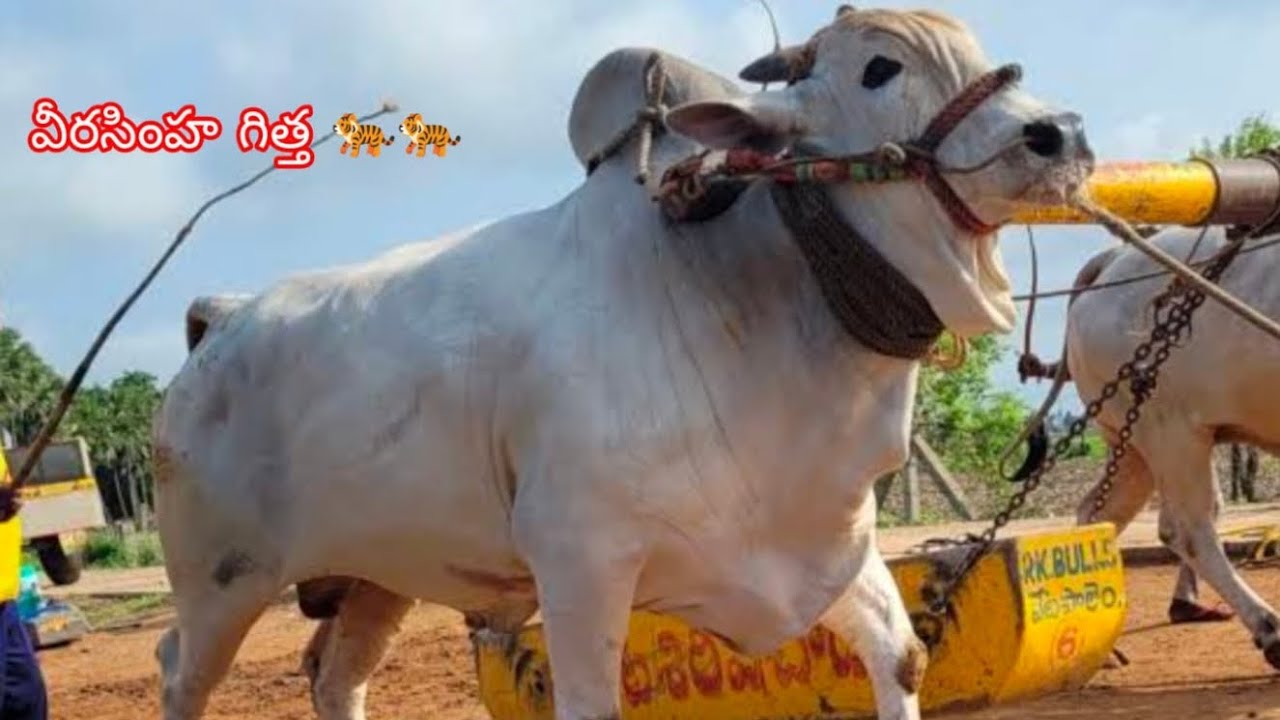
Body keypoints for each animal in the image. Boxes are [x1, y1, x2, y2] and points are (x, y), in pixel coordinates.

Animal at [151, 7, 1092, 720]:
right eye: (879, 68)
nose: (1060, 136)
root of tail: (218, 317)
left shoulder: (831, 539)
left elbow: (900, 658)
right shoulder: (580, 560)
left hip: (377, 575)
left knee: (335, 675)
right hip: (220, 584)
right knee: (178, 673)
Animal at [1018, 225, 1280, 669]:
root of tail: (1112, 259)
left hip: (1134, 447)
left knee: (1097, 514)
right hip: (1169, 433)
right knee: (1190, 532)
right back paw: (1269, 628)